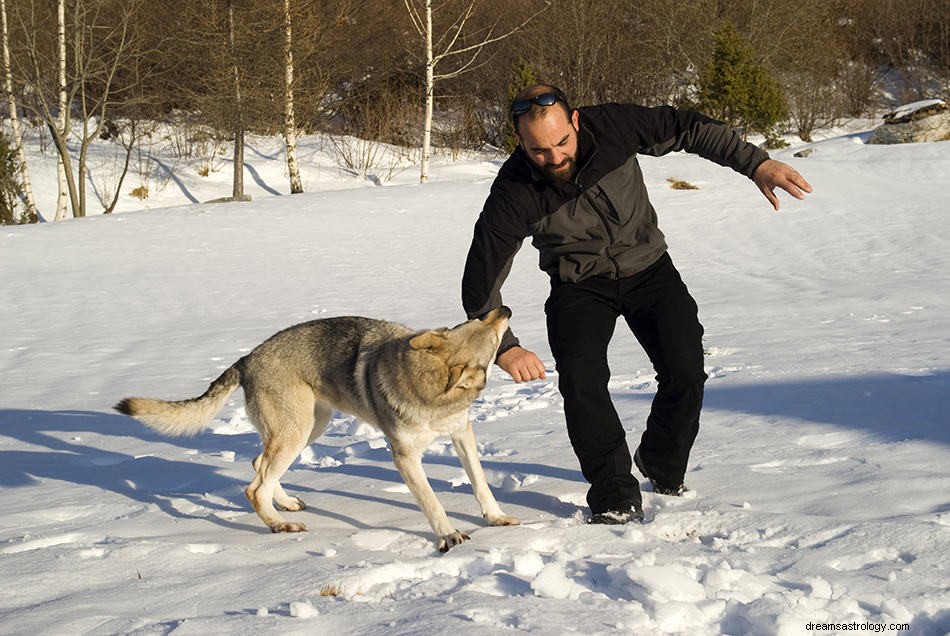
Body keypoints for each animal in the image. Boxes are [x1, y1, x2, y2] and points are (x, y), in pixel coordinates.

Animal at [119, 306, 524, 552]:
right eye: (487, 333)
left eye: (478, 323)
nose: (503, 309)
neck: (428, 388)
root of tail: (247, 358)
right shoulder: (405, 457)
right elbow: (432, 502)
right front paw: (448, 536)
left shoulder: (461, 434)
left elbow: (481, 483)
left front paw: (496, 518)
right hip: (296, 432)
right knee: (253, 487)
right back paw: (280, 525)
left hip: (310, 428)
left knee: (258, 466)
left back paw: (285, 504)